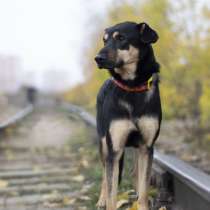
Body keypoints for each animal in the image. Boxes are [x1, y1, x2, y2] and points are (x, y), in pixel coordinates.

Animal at [94, 21, 162, 210]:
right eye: (104, 40)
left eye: (121, 38)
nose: (97, 58)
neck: (132, 86)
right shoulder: (114, 149)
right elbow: (112, 192)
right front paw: (107, 200)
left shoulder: (147, 146)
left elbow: (144, 186)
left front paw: (142, 204)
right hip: (104, 144)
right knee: (105, 175)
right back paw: (101, 199)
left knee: (135, 173)